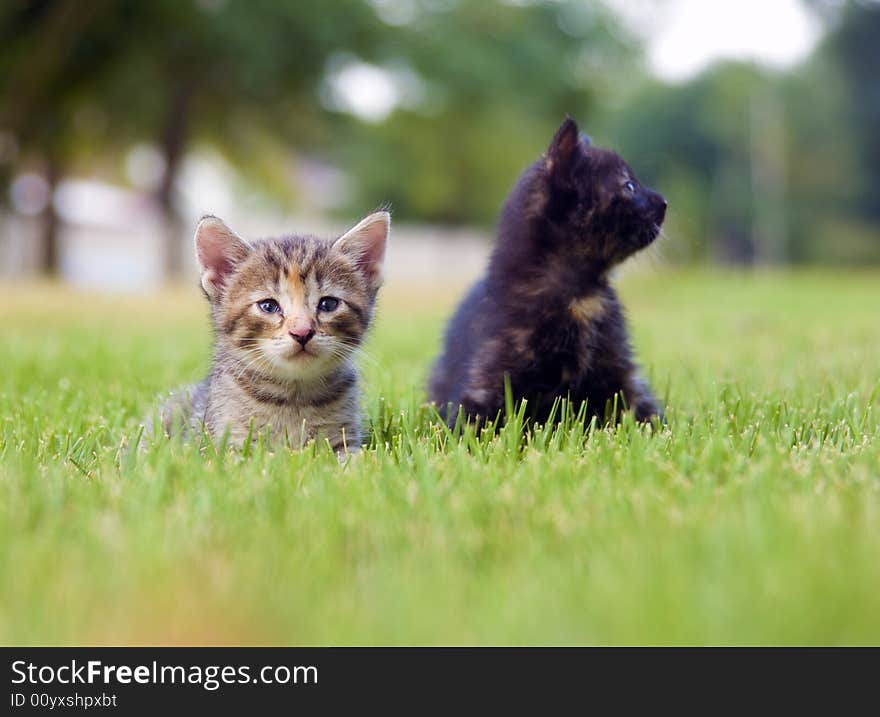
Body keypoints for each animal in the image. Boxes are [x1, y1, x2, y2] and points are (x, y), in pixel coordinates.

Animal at [156, 210, 390, 450]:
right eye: (268, 306)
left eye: (328, 304)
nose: (302, 332)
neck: (294, 398)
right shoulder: (224, 443)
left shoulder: (344, 439)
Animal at [428, 117, 668, 426]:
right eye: (629, 186)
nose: (663, 203)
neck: (580, 296)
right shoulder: (487, 383)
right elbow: (469, 424)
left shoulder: (622, 376)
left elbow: (648, 415)